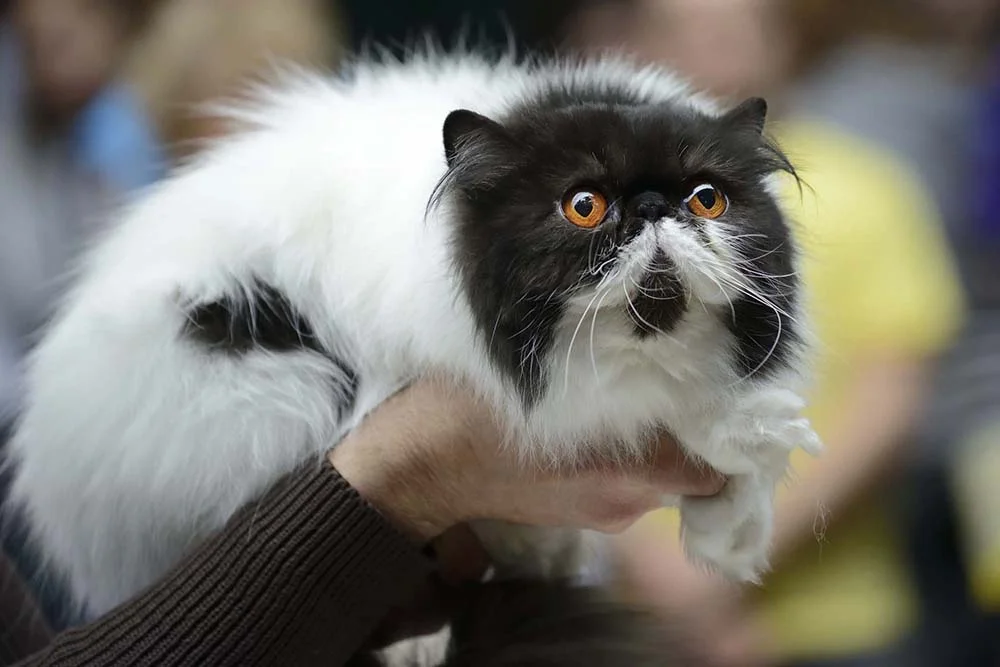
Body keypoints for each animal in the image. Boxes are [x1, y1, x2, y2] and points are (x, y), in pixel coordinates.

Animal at [5, 52, 820, 620]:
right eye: (583, 205)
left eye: (707, 199)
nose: (655, 209)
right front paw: (746, 445)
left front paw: (733, 531)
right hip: (275, 389)